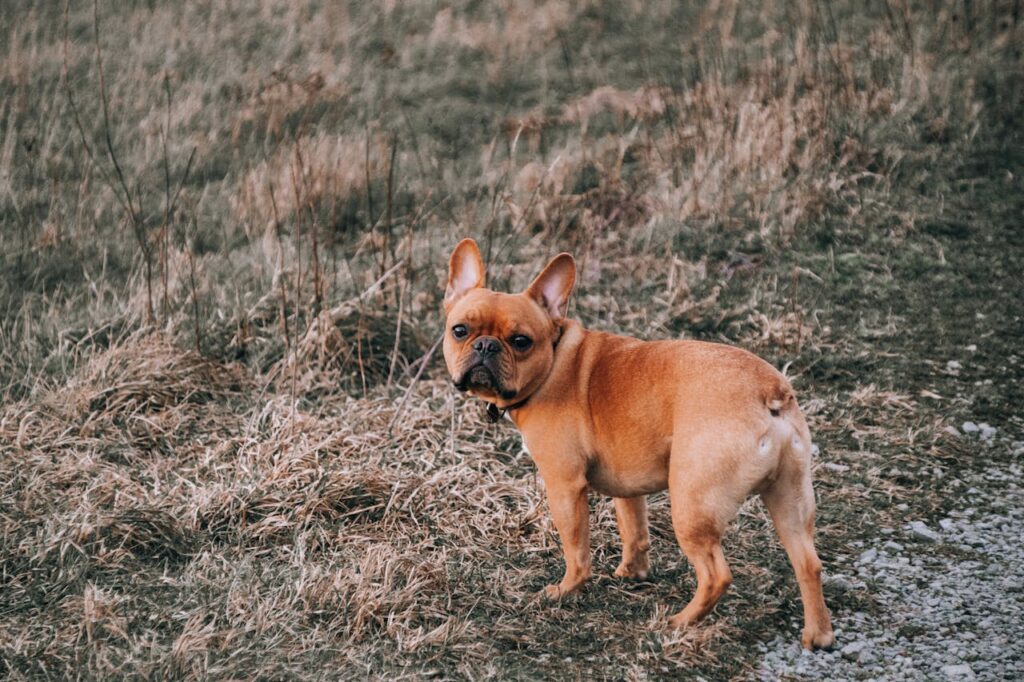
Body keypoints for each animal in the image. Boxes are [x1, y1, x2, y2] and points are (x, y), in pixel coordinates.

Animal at [440, 238, 831, 647]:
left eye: (520, 341)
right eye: (460, 330)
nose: (485, 346)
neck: (556, 359)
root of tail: (769, 393)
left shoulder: (564, 486)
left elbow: (576, 547)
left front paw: (566, 590)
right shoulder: (627, 485)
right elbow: (634, 528)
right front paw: (633, 572)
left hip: (692, 504)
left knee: (716, 574)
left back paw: (680, 622)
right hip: (789, 500)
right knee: (809, 563)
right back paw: (818, 634)